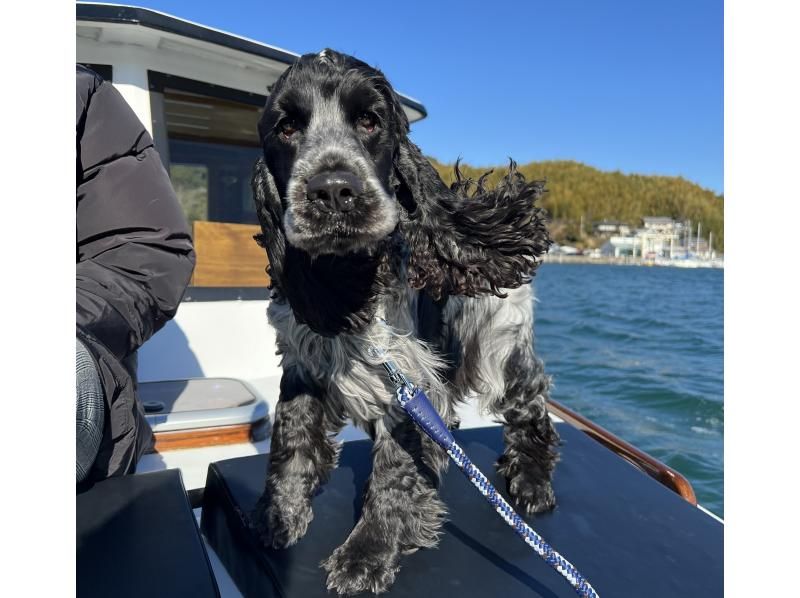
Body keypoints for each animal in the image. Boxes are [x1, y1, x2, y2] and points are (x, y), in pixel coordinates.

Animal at [250, 50, 556, 596]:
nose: (334, 191)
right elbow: (290, 439)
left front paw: (367, 554)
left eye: (370, 121)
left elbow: (394, 470)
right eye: (286, 128)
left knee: (530, 404)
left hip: (500, 340)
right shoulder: (303, 361)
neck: (350, 280)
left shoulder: (407, 379)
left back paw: (532, 481)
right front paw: (279, 515)